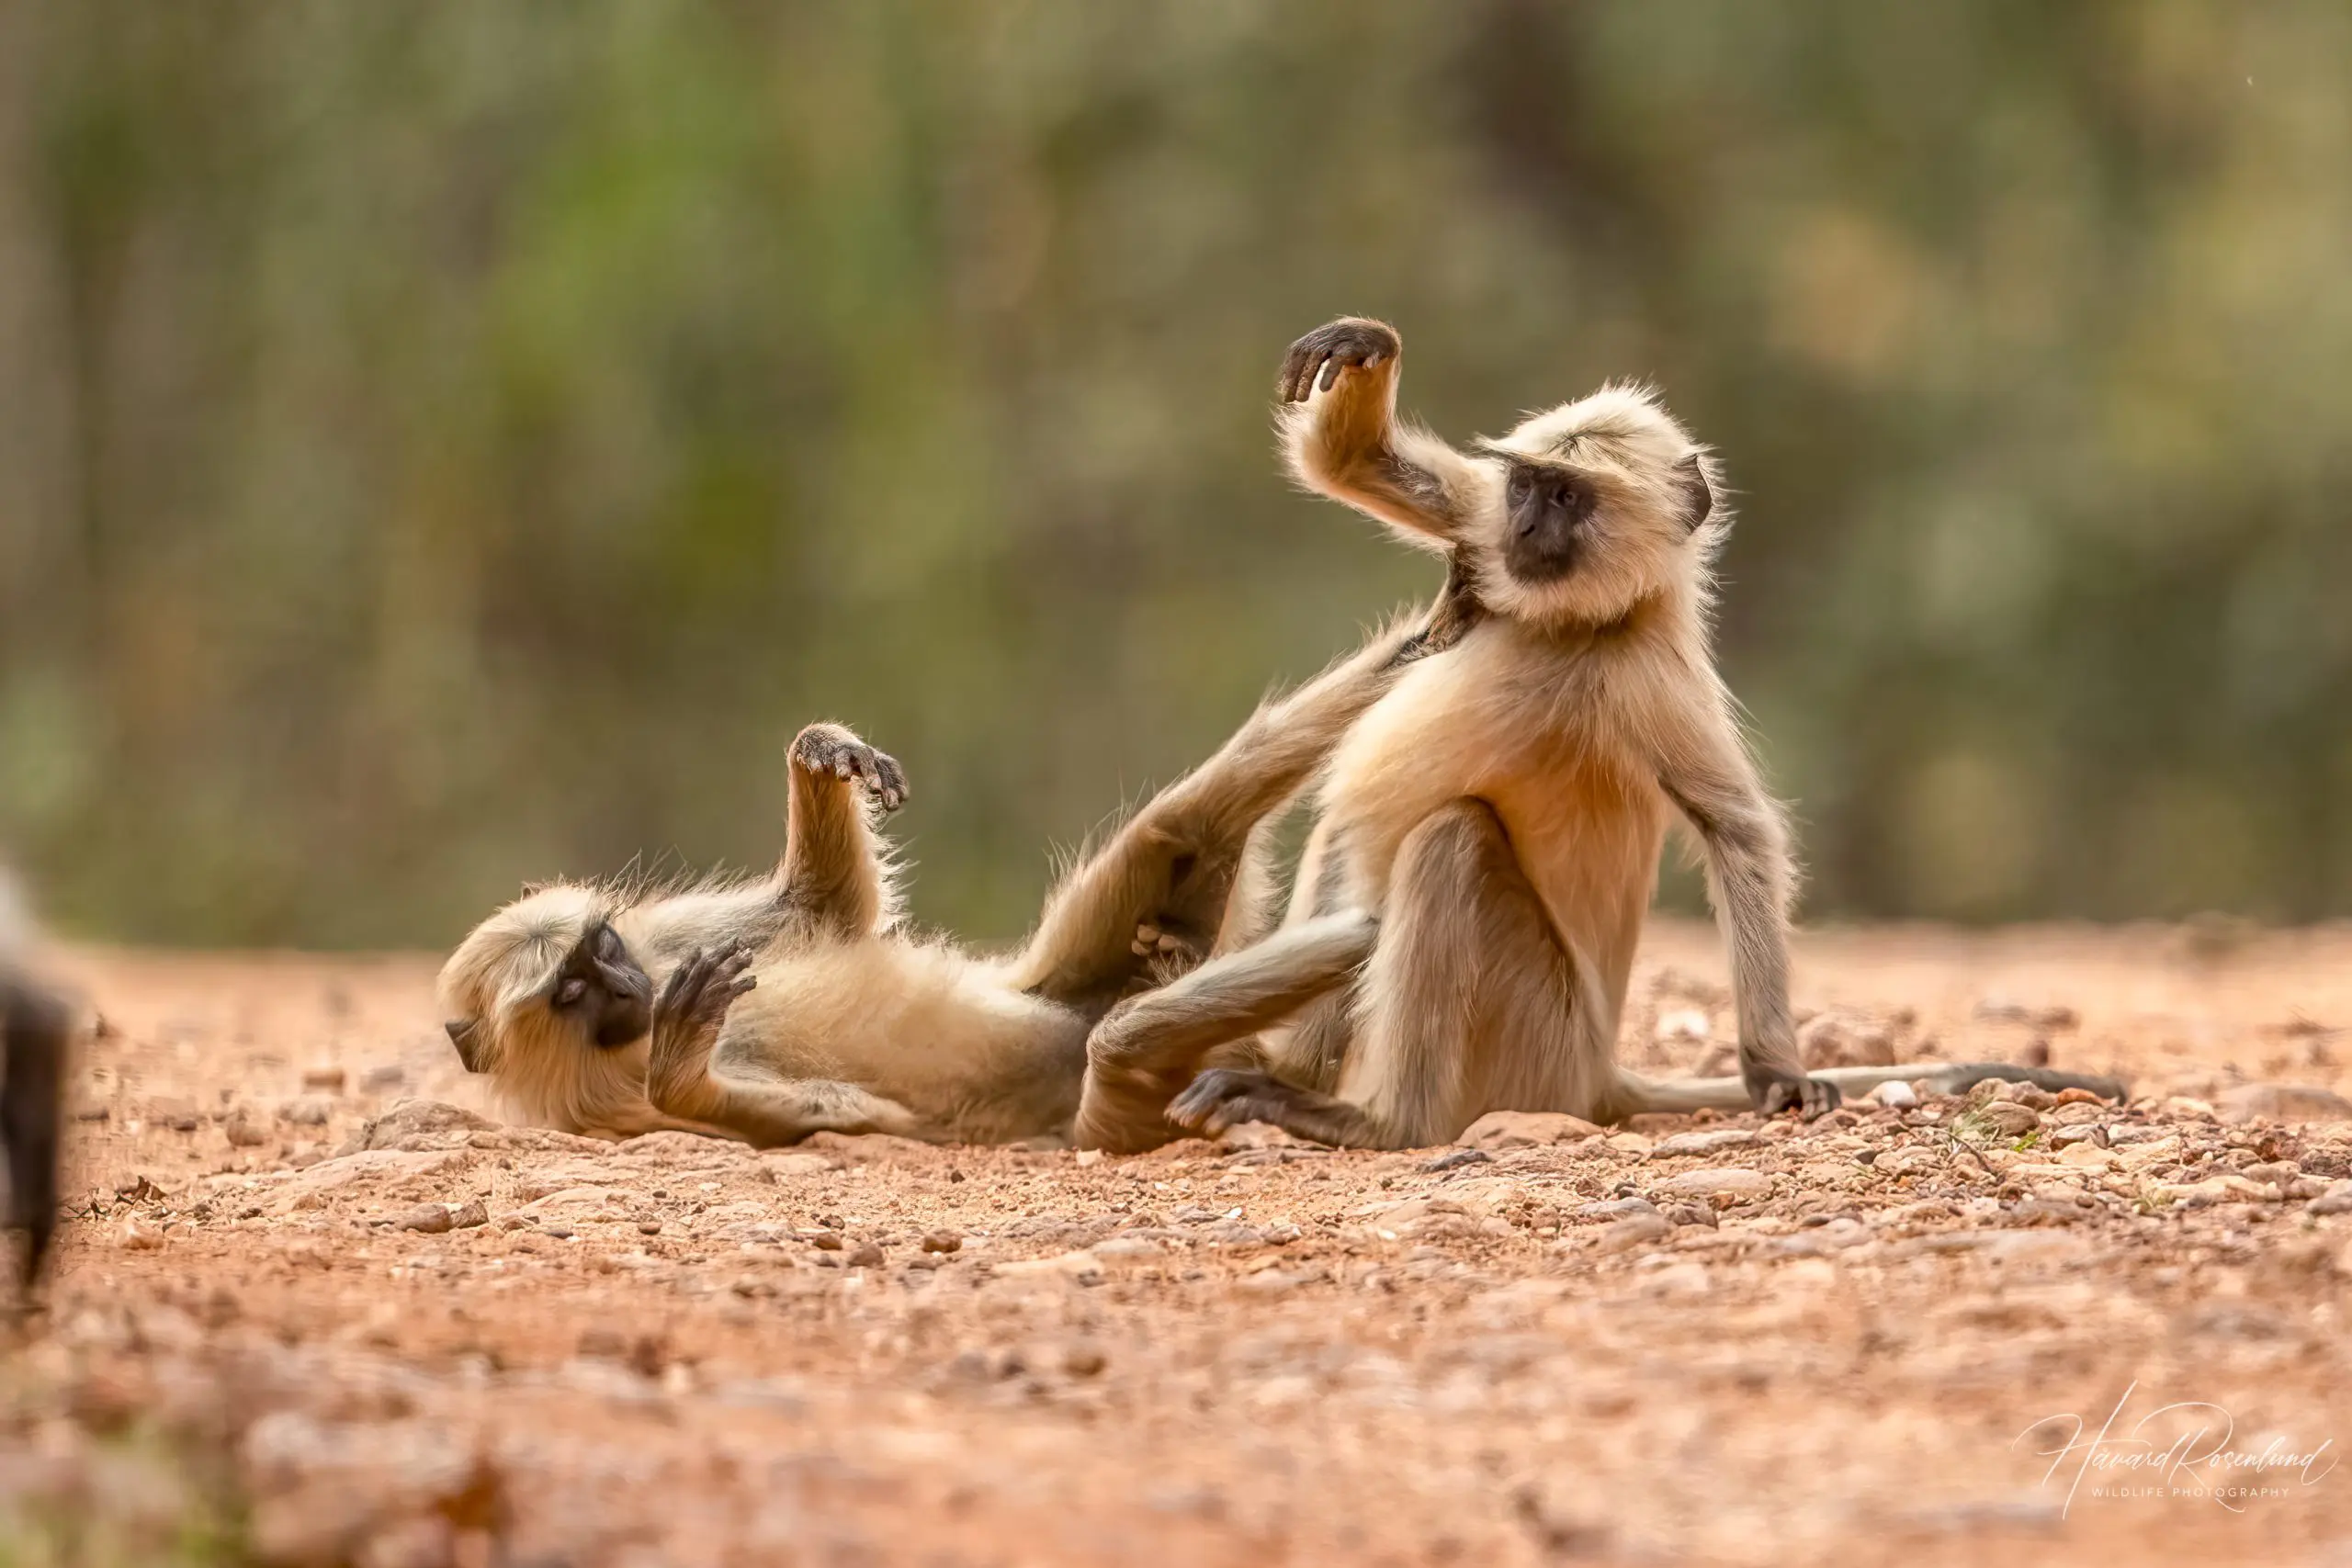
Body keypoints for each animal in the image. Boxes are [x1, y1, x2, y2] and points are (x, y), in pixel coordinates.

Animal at [435, 582, 1476, 1146]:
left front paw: (824, 752)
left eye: (604, 949)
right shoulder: (596, 1104)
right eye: (571, 991)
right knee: (1126, 1043)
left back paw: (1441, 628)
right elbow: (813, 1118)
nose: (625, 990)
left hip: (1085, 971)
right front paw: (684, 1066)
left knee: (1180, 827)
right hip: (1115, 1107)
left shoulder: (666, 940)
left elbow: (828, 910)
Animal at [1077, 320, 2126, 1152]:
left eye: (1571, 500)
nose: (1529, 524)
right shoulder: (1486, 542)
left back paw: (1367, 1121)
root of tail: (1595, 1074)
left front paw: (1775, 1068)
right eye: (1531, 487)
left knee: (1449, 841)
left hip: (1533, 1042)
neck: (1578, 623)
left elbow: (1736, 830)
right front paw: (1363, 349)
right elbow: (1365, 475)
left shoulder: (1646, 679)